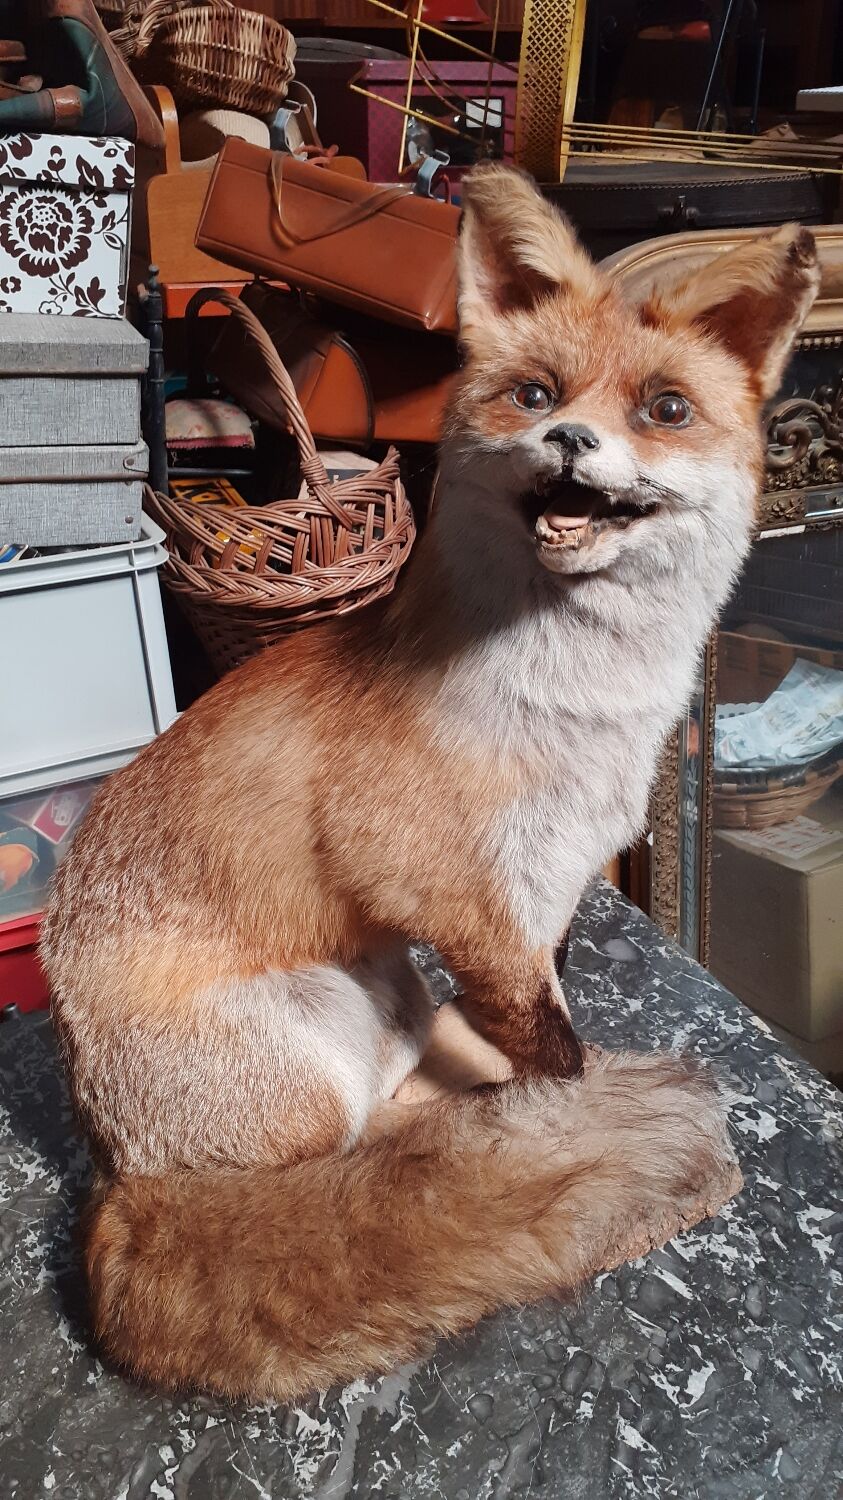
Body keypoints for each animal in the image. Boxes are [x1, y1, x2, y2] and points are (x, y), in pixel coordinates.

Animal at [41, 165, 818, 1402]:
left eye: (664, 410)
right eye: (537, 392)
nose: (568, 439)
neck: (580, 716)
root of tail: (116, 1171)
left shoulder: (543, 894)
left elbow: (547, 1028)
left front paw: (546, 1114)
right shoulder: (455, 898)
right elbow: (559, 1055)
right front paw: (564, 1124)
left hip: (388, 988)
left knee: (414, 1087)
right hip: (323, 1043)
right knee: (352, 1158)